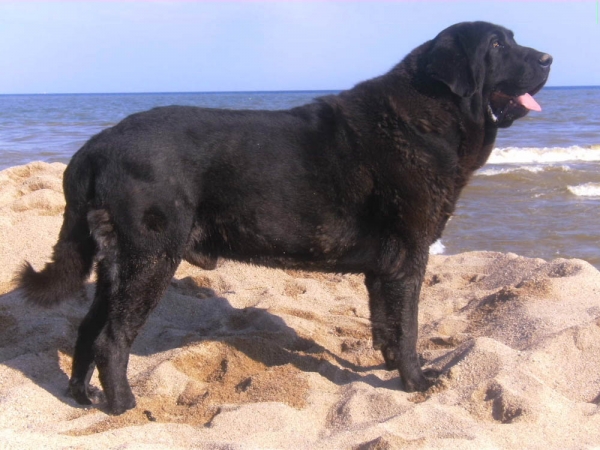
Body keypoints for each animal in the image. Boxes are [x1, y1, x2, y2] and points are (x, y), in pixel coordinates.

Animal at [17, 22, 552, 414]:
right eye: (498, 45)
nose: (548, 58)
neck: (428, 116)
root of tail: (93, 147)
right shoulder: (409, 258)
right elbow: (409, 328)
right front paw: (417, 381)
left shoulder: (385, 270)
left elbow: (387, 325)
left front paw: (387, 370)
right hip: (150, 259)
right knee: (112, 339)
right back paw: (124, 405)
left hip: (117, 263)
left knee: (88, 330)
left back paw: (82, 396)